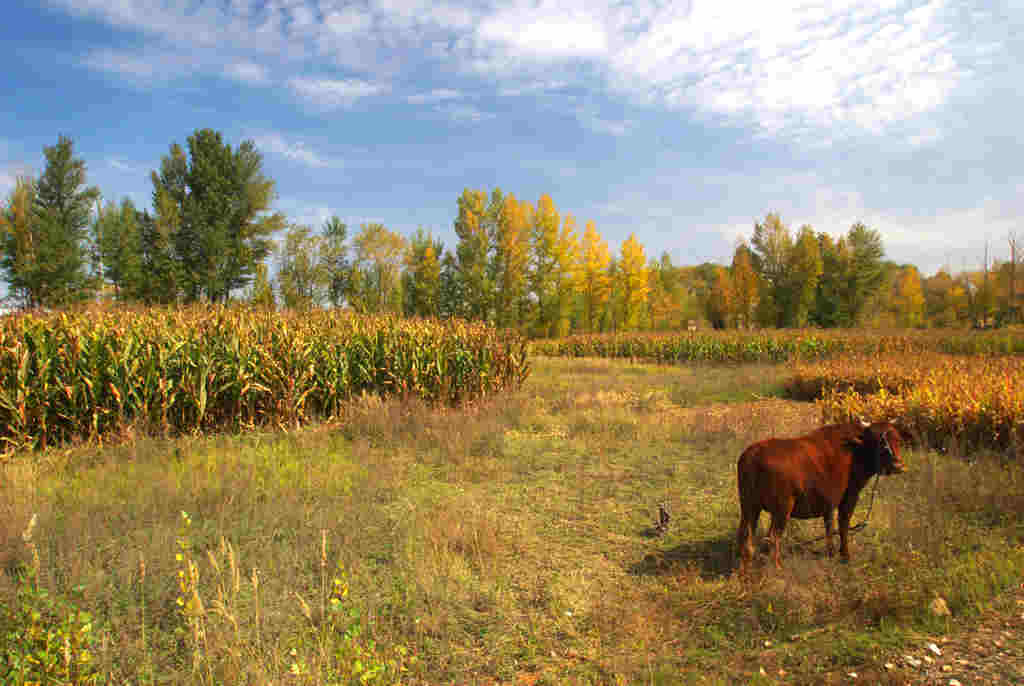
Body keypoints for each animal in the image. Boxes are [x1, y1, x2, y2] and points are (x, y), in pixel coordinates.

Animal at [737, 423, 905, 573]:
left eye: (898, 440)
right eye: (878, 442)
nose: (898, 466)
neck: (854, 451)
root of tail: (754, 453)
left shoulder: (828, 502)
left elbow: (829, 526)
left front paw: (831, 553)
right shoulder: (849, 496)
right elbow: (843, 524)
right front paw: (845, 556)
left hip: (749, 507)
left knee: (746, 537)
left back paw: (744, 571)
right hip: (782, 509)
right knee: (772, 537)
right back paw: (777, 567)